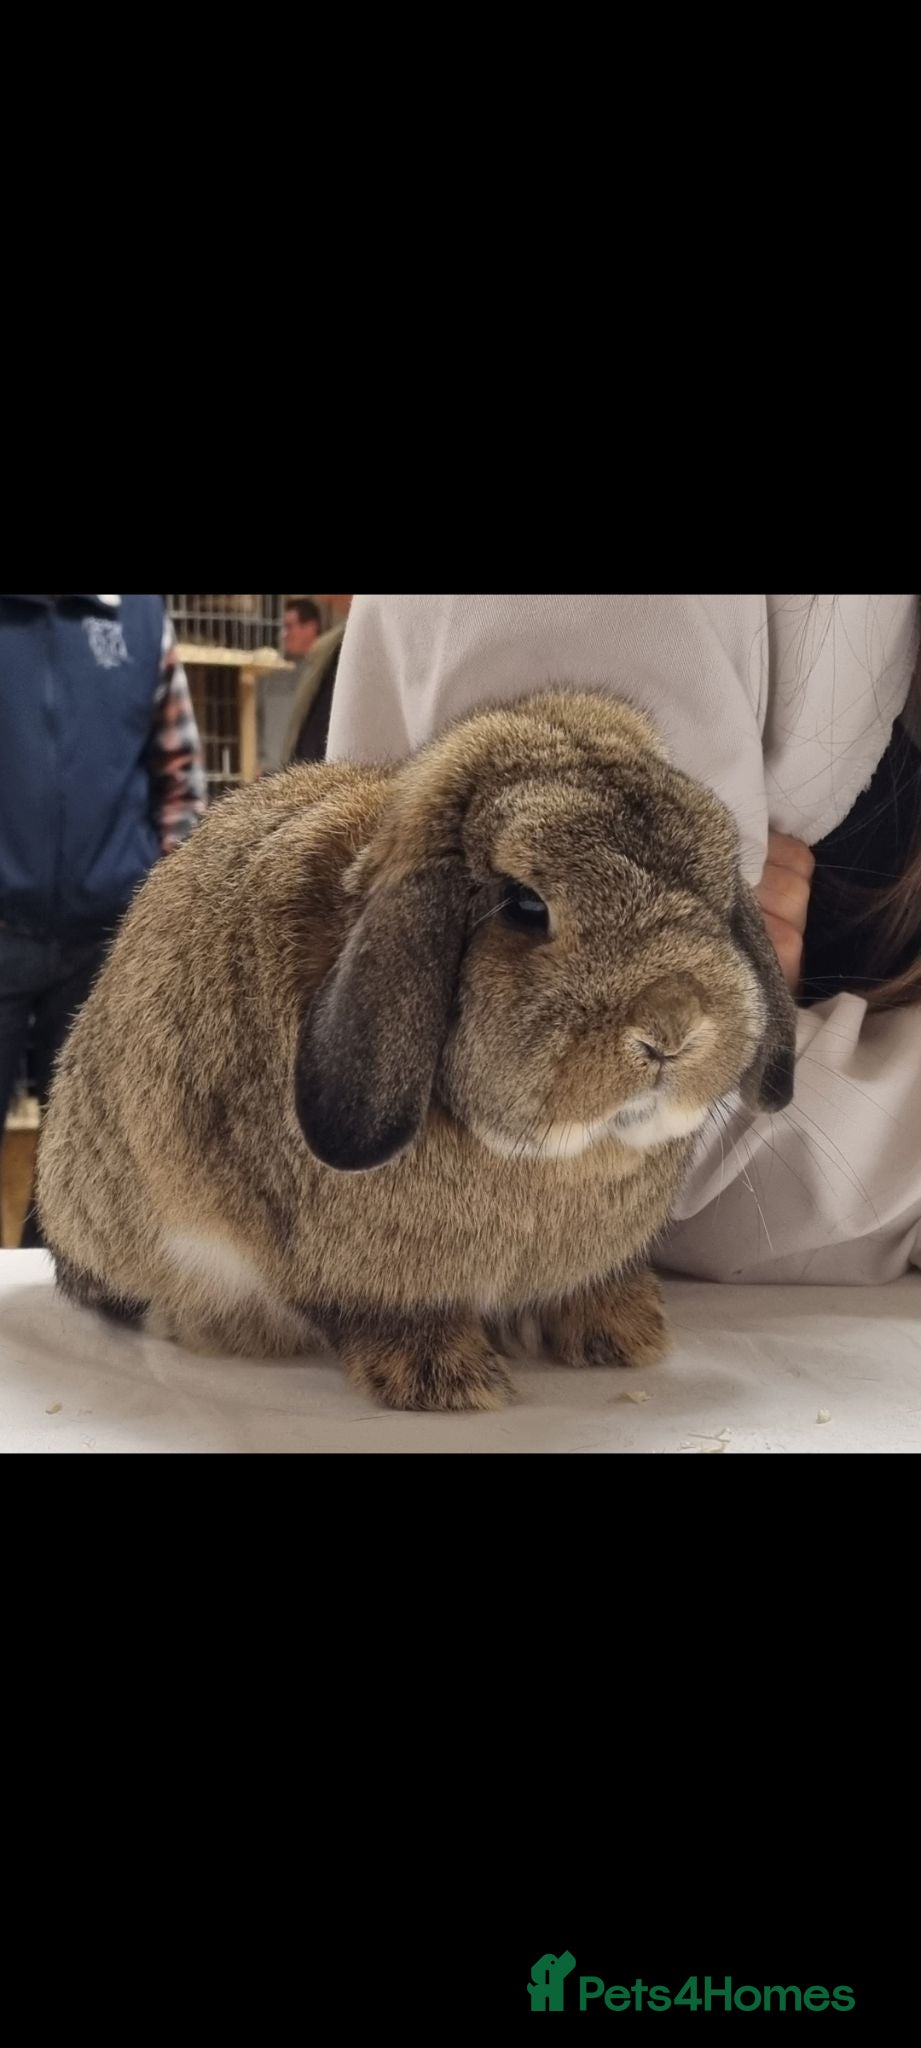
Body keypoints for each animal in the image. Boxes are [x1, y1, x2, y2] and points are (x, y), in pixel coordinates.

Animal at [37, 689, 796, 1412]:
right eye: (525, 906)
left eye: (719, 891)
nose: (671, 1024)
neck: (550, 1161)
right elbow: (371, 1312)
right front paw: (442, 1379)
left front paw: (622, 1332)